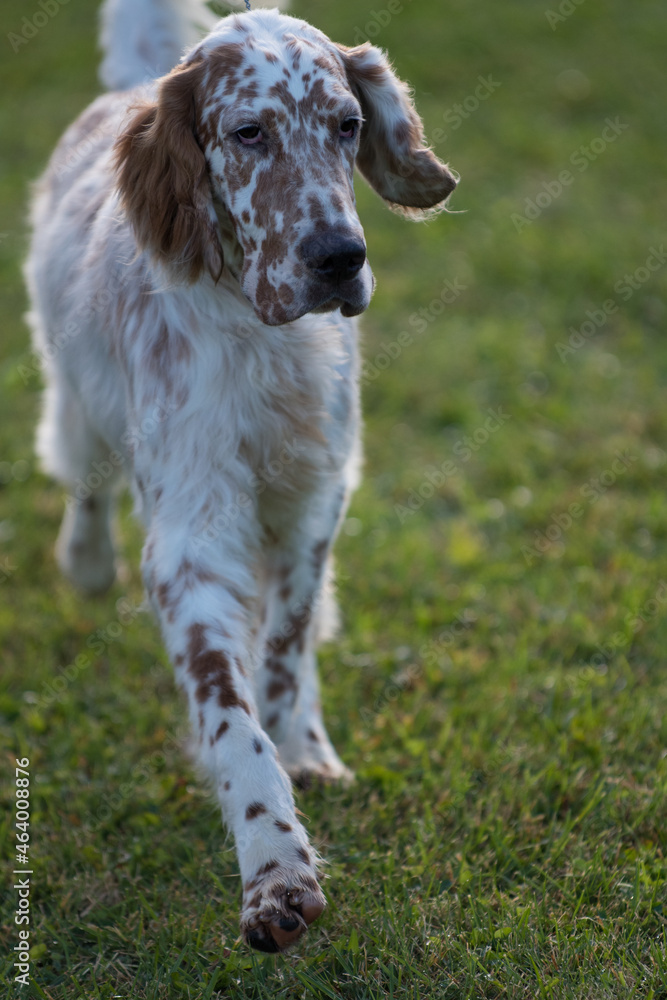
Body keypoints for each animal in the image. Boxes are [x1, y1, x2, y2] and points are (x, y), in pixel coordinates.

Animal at [23, 0, 456, 952]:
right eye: (247, 133)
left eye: (346, 125)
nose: (338, 257)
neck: (261, 337)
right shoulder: (194, 538)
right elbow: (231, 720)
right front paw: (275, 872)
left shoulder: (315, 499)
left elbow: (285, 651)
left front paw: (304, 749)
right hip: (74, 389)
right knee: (82, 473)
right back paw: (85, 561)